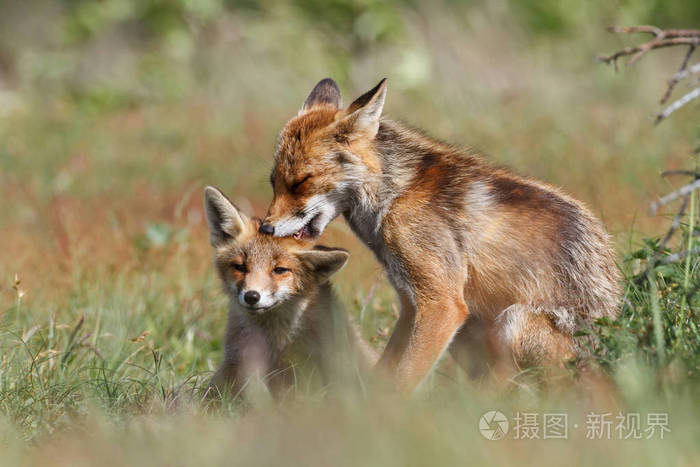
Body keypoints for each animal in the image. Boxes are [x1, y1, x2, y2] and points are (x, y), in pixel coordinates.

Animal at [260, 77, 620, 392]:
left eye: (301, 182)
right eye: (273, 182)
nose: (266, 227)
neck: (395, 193)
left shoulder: (442, 303)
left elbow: (404, 380)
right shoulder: (411, 302)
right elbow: (387, 371)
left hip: (513, 322)